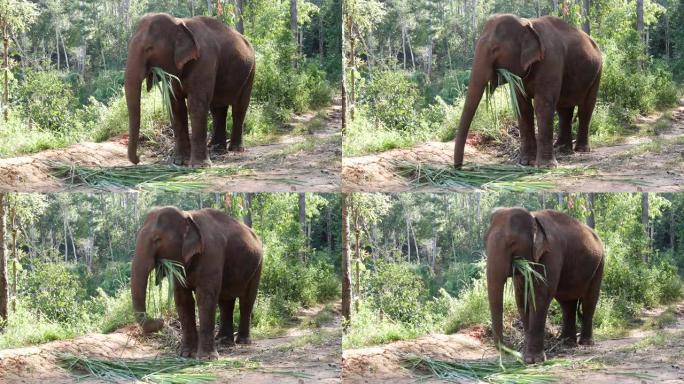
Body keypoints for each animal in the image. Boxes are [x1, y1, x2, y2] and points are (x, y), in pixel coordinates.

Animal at [124, 13, 255, 166]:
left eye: (149, 48)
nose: (139, 159)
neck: (179, 22)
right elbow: (176, 106)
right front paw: (179, 161)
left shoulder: (205, 59)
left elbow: (196, 104)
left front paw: (199, 165)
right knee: (218, 109)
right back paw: (216, 148)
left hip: (251, 71)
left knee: (239, 107)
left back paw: (235, 149)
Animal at [130, 207, 262, 360]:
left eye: (157, 239)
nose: (161, 320)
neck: (187, 215)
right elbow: (183, 299)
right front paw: (186, 354)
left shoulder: (211, 252)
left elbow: (204, 297)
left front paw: (207, 358)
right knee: (225, 302)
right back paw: (223, 341)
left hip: (258, 265)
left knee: (247, 300)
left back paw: (243, 341)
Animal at [456, 14, 600, 167]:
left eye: (495, 49)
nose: (458, 166)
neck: (526, 24)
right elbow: (522, 107)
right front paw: (526, 162)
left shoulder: (551, 60)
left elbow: (542, 105)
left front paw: (546, 166)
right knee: (564, 110)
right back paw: (562, 149)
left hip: (597, 73)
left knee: (586, 108)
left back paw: (581, 149)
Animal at [486, 207, 604, 364]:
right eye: (485, 241)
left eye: (512, 243)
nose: (510, 347)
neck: (533, 218)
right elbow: (522, 299)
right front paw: (525, 357)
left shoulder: (551, 253)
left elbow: (540, 296)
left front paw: (533, 360)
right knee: (567, 304)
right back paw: (566, 342)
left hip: (600, 264)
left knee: (589, 301)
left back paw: (585, 343)